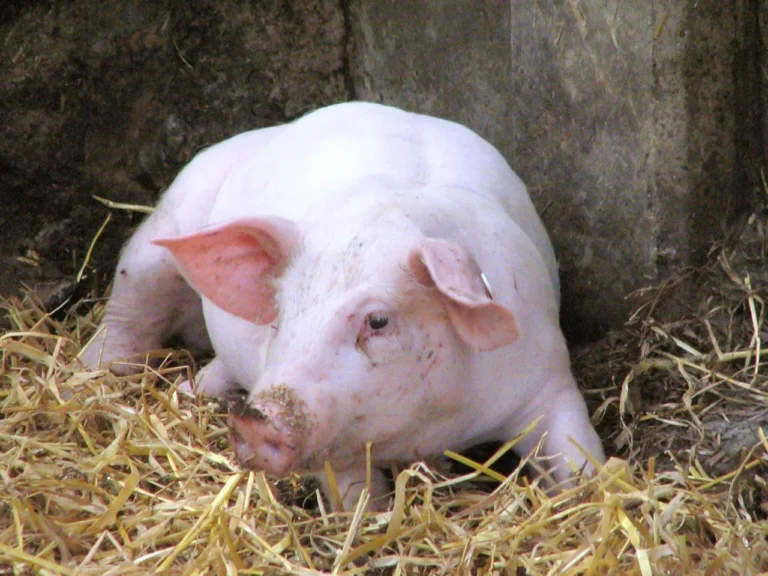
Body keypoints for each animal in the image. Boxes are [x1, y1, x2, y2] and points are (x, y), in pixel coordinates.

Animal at [80, 102, 605, 511]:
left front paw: (592, 491)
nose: (256, 419)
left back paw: (197, 390)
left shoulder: (546, 373)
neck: (436, 426)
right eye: (282, 311)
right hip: (162, 232)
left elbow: (579, 452)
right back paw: (96, 373)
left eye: (379, 320)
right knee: (128, 311)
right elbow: (356, 499)